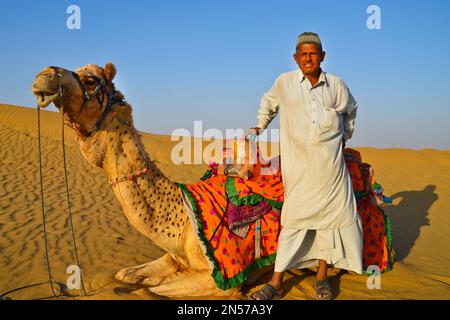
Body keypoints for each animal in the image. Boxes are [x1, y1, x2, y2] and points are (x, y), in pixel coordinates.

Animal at [31, 62, 268, 298]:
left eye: (90, 81)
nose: (45, 74)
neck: (184, 221)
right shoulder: (174, 256)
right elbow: (125, 274)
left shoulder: (222, 281)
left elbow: (154, 289)